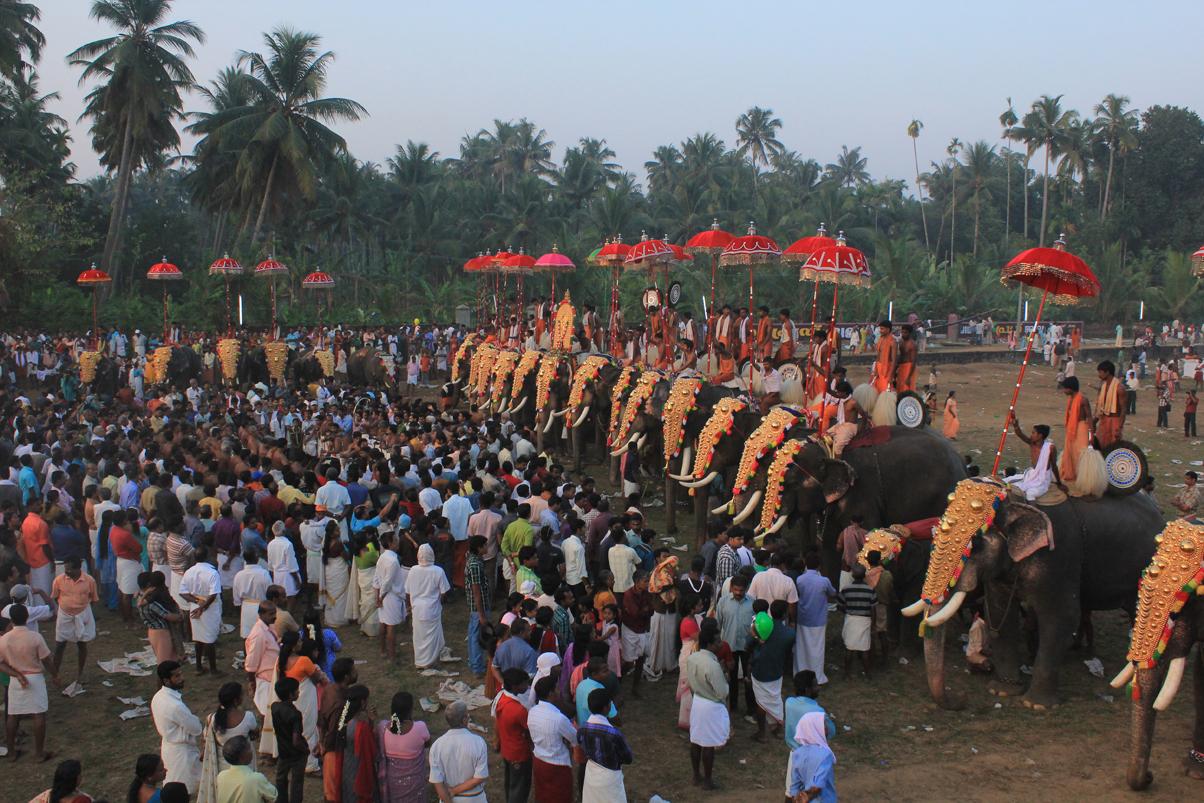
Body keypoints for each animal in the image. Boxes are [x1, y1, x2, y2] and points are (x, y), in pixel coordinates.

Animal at [905, 476, 1160, 707]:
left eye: (976, 544)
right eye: (934, 534)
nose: (961, 698)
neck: (1017, 499)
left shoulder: (1060, 555)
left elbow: (1062, 617)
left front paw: (1035, 704)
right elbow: (998, 612)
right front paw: (1002, 691)